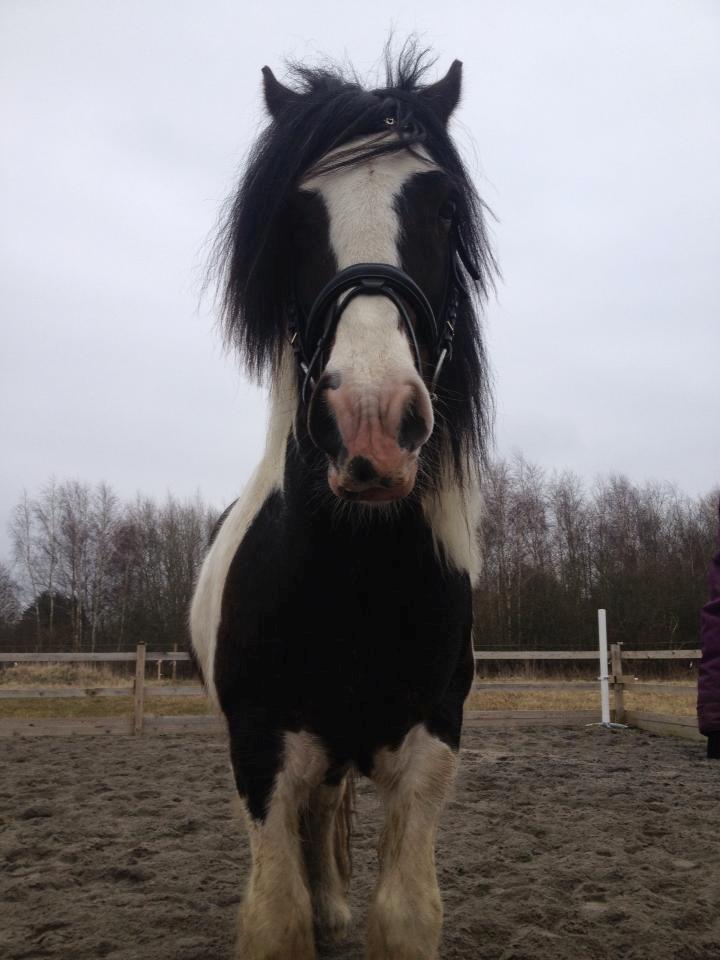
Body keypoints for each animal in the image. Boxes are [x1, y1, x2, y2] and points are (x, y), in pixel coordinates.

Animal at [190, 47, 496, 960]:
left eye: (443, 206)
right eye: (294, 216)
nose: (371, 422)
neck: (355, 580)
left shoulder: (431, 746)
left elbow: (404, 915)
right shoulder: (259, 751)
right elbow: (276, 917)